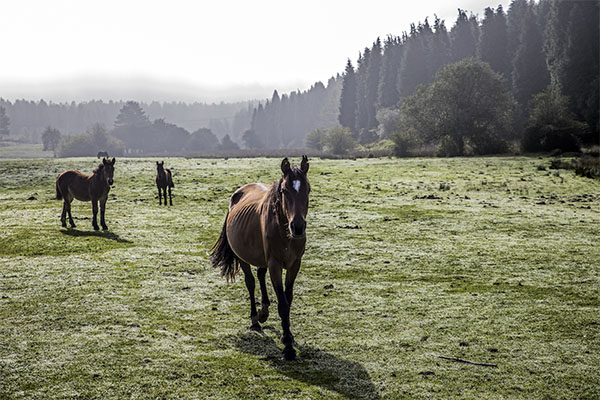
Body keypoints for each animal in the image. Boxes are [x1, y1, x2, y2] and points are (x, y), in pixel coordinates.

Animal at [211, 155, 312, 360]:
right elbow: (282, 304)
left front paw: (287, 336)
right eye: (284, 190)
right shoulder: (275, 264)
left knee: (260, 275)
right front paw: (288, 347)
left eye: (308, 189)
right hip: (243, 257)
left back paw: (263, 311)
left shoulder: (294, 264)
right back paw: (255, 320)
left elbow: (288, 298)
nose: (297, 227)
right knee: (251, 282)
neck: (284, 230)